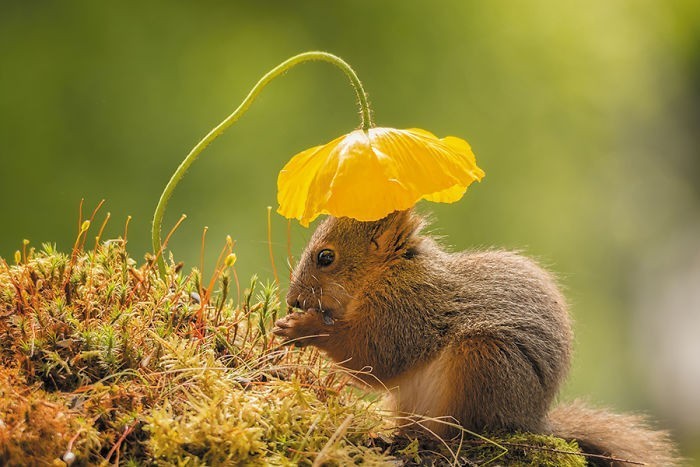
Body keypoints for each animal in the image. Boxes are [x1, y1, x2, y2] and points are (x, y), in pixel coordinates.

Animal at [272, 210, 680, 466]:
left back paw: (438, 440)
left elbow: (375, 356)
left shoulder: (409, 308)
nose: (293, 299)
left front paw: (303, 327)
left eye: (326, 257)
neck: (388, 271)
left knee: (467, 431)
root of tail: (530, 419)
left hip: (483, 361)